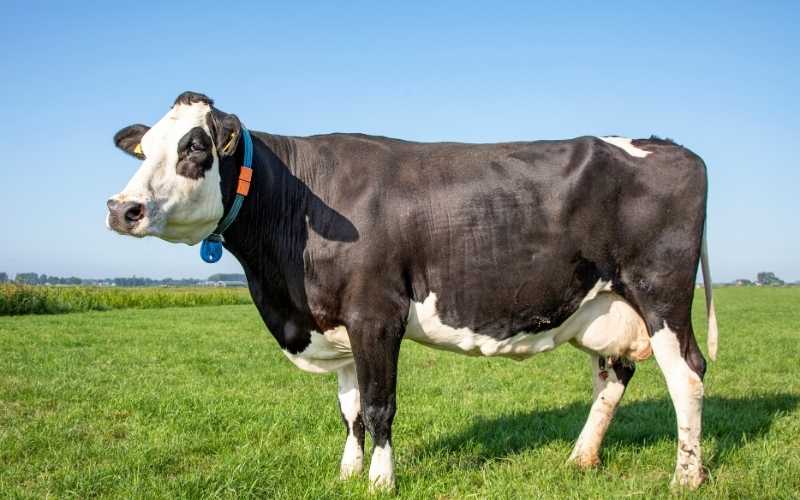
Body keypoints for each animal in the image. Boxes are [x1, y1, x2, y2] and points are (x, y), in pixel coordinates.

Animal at [107, 91, 719, 492]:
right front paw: (347, 473)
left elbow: (380, 406)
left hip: (661, 294)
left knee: (688, 373)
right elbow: (350, 410)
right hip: (606, 304)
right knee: (614, 375)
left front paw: (381, 481)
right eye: (144, 150)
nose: (121, 208)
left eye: (194, 147)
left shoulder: (375, 313)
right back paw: (580, 459)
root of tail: (671, 146)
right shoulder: (338, 323)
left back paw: (686, 476)